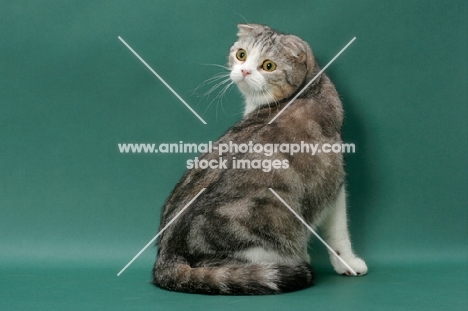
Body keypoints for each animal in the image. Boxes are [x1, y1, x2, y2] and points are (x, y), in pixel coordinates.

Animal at [152, 23, 368, 294]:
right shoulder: (332, 182)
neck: (310, 89)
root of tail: (166, 256)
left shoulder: (333, 181)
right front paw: (343, 262)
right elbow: (338, 233)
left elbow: (338, 232)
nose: (244, 70)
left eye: (268, 65)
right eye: (241, 54)